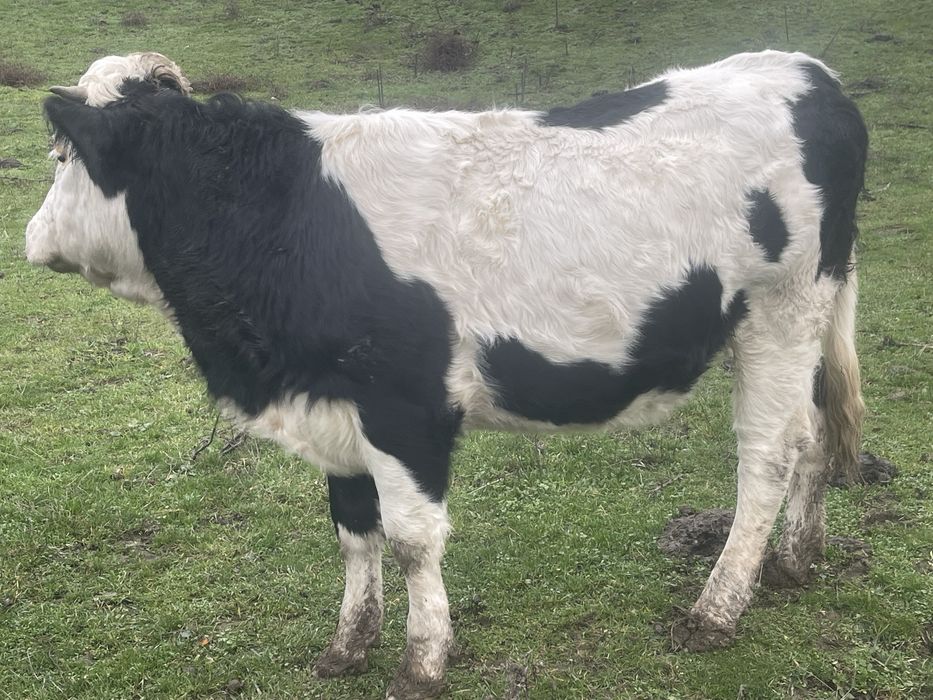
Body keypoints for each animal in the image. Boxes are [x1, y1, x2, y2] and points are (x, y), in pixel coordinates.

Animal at [25, 50, 867, 699]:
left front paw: (421, 661)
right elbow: (352, 529)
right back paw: (795, 560)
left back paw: (716, 609)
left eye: (62, 158)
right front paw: (347, 644)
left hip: (778, 313)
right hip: (809, 317)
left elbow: (409, 540)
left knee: (768, 453)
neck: (286, 218)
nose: (31, 236)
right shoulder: (335, 406)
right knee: (816, 434)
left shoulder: (405, 407)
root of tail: (804, 70)